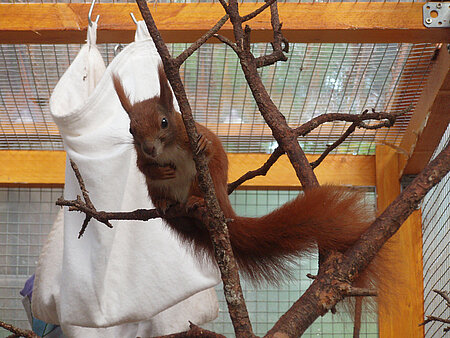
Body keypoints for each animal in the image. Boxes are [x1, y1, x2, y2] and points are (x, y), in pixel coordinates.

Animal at [112, 66, 376, 282]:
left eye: (164, 122)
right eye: (131, 129)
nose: (150, 148)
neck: (167, 149)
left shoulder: (189, 135)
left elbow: (208, 147)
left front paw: (204, 145)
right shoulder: (141, 156)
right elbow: (143, 167)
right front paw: (160, 169)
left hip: (206, 181)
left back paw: (197, 200)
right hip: (157, 189)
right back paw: (164, 203)